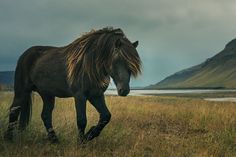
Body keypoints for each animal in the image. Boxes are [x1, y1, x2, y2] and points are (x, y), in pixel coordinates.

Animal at [3, 27, 141, 144]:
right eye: (118, 59)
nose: (124, 90)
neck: (89, 65)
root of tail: (25, 55)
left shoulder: (96, 95)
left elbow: (105, 116)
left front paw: (90, 134)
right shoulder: (80, 96)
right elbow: (81, 120)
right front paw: (81, 141)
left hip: (47, 95)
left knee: (45, 115)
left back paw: (55, 140)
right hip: (22, 91)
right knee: (14, 110)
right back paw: (8, 139)